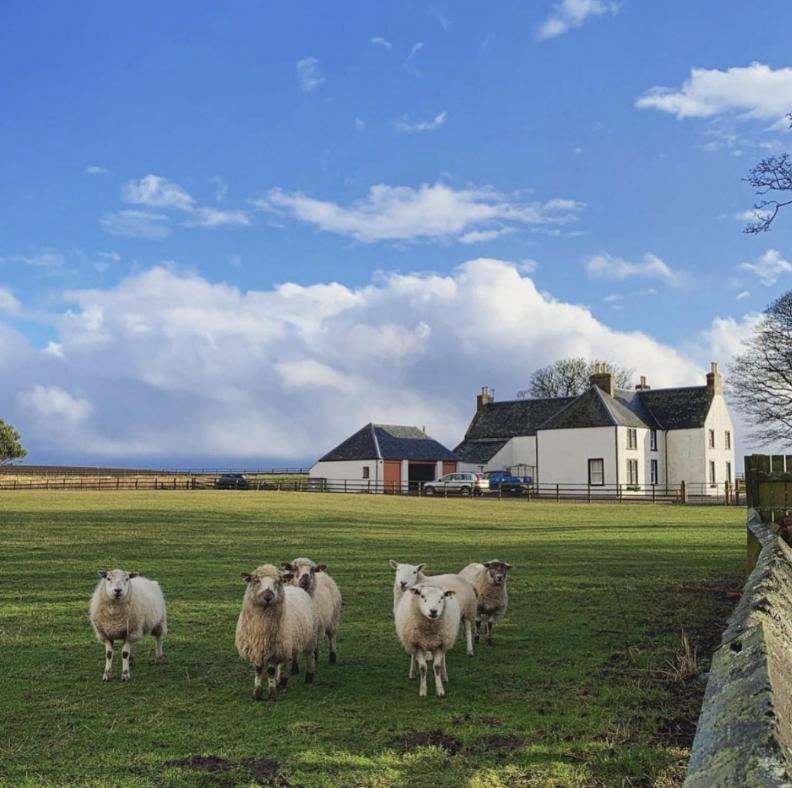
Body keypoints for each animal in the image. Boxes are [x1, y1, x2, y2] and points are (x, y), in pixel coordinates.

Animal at [235, 564, 322, 700]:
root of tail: (296, 588)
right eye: (256, 580)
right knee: (285, 662)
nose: (267, 597)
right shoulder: (257, 648)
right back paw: (281, 681)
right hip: (287, 643)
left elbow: (270, 671)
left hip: (310, 638)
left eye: (279, 581)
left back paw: (309, 677)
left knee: (310, 656)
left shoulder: (274, 650)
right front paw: (257, 694)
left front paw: (271, 694)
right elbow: (258, 670)